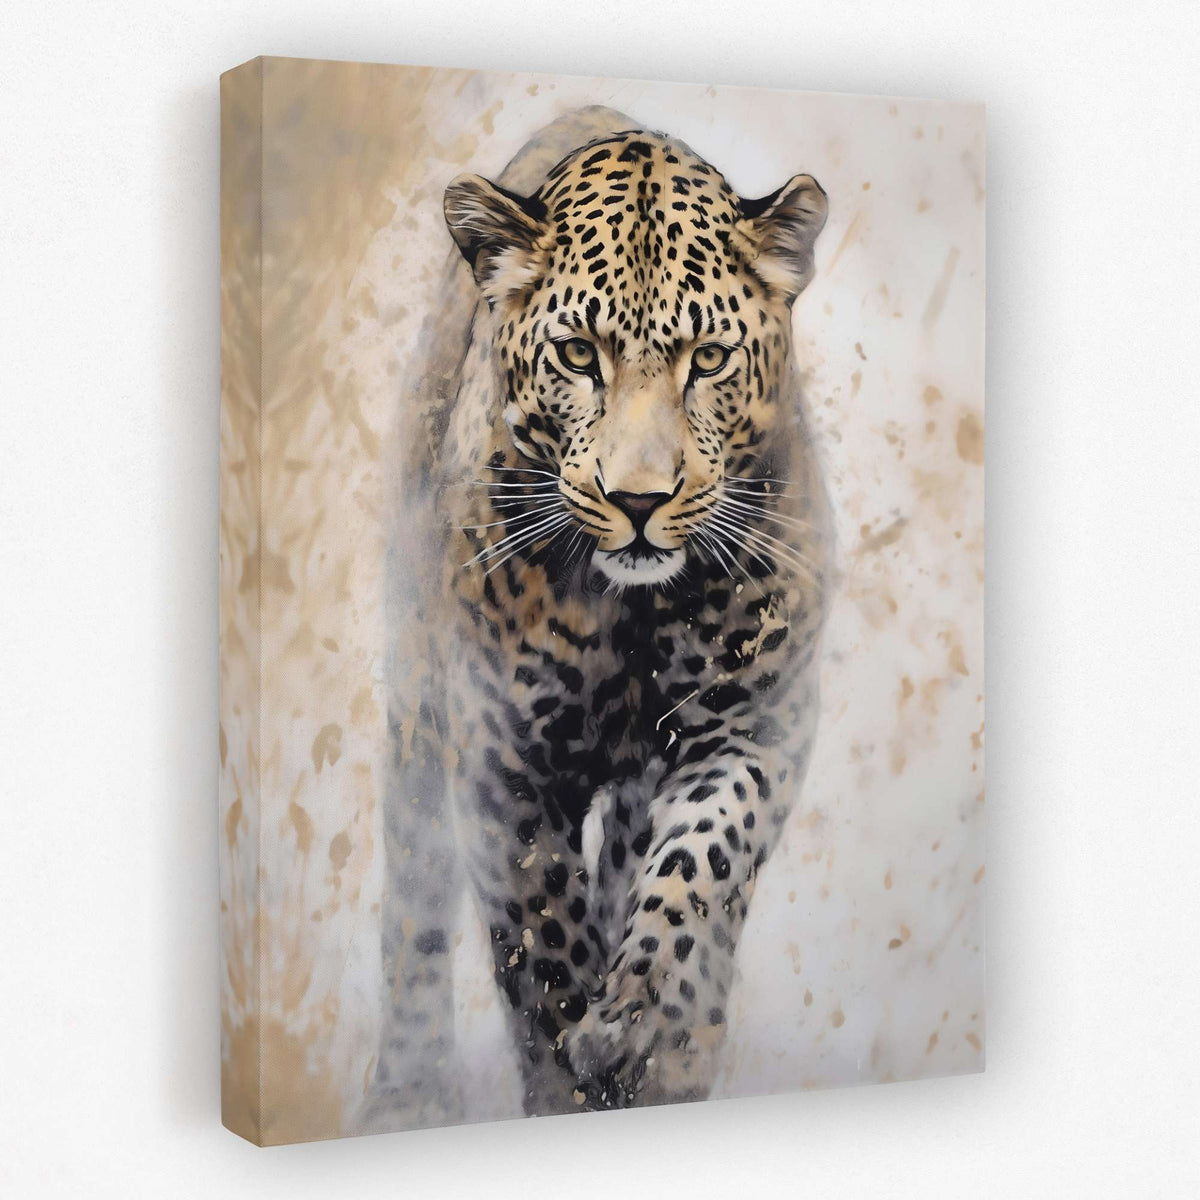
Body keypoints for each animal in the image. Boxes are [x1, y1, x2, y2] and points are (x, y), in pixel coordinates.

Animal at [363, 105, 833, 1129]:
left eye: (708, 359)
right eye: (580, 355)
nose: (640, 500)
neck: (633, 613)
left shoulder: (754, 727)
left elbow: (698, 868)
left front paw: (641, 1019)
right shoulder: (499, 763)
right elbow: (543, 940)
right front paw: (575, 1066)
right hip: (416, 703)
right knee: (413, 900)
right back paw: (408, 1091)